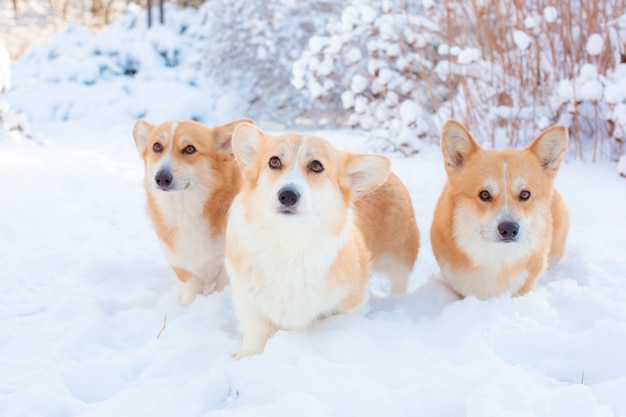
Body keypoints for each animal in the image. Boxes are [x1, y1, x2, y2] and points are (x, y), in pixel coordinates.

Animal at [133, 118, 252, 304]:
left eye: (190, 149)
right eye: (156, 147)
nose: (162, 178)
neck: (184, 210)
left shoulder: (226, 266)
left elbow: (221, 286)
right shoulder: (181, 265)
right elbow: (191, 290)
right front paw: (188, 306)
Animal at [224, 123, 420, 358]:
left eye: (316, 166)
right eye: (274, 162)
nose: (287, 195)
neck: (289, 240)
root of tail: (392, 175)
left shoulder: (350, 303)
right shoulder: (247, 301)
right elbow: (255, 331)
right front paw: (248, 355)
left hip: (398, 260)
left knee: (399, 281)